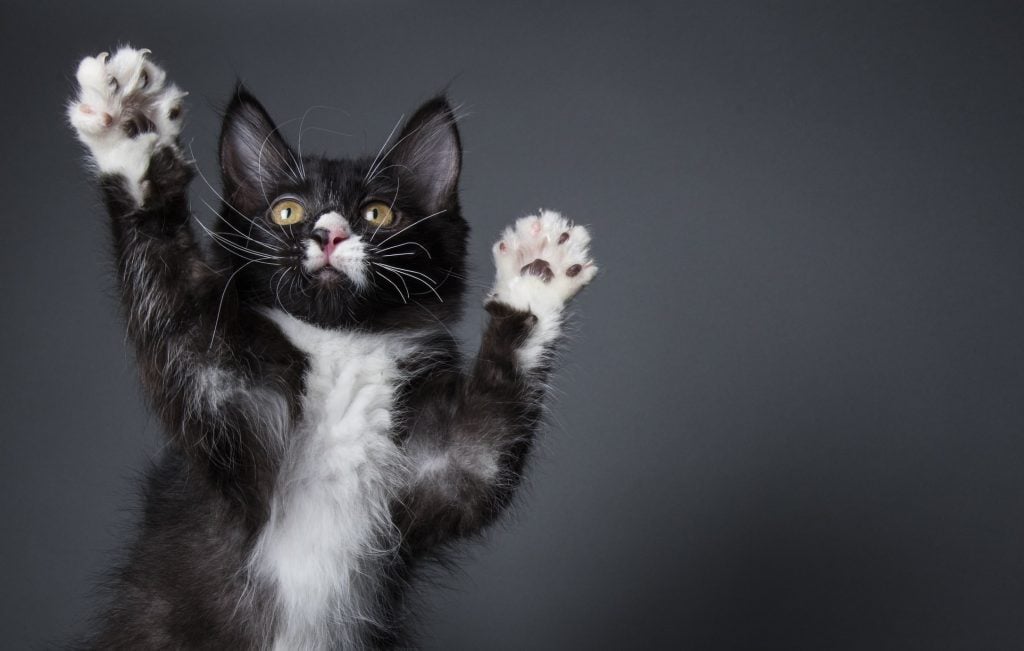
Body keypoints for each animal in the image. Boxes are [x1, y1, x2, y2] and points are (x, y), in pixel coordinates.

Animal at [68, 48, 598, 646]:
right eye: (287, 212)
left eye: (376, 213)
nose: (329, 234)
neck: (341, 345)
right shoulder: (215, 395)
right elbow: (171, 296)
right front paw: (132, 132)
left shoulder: (443, 472)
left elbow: (487, 443)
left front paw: (537, 276)